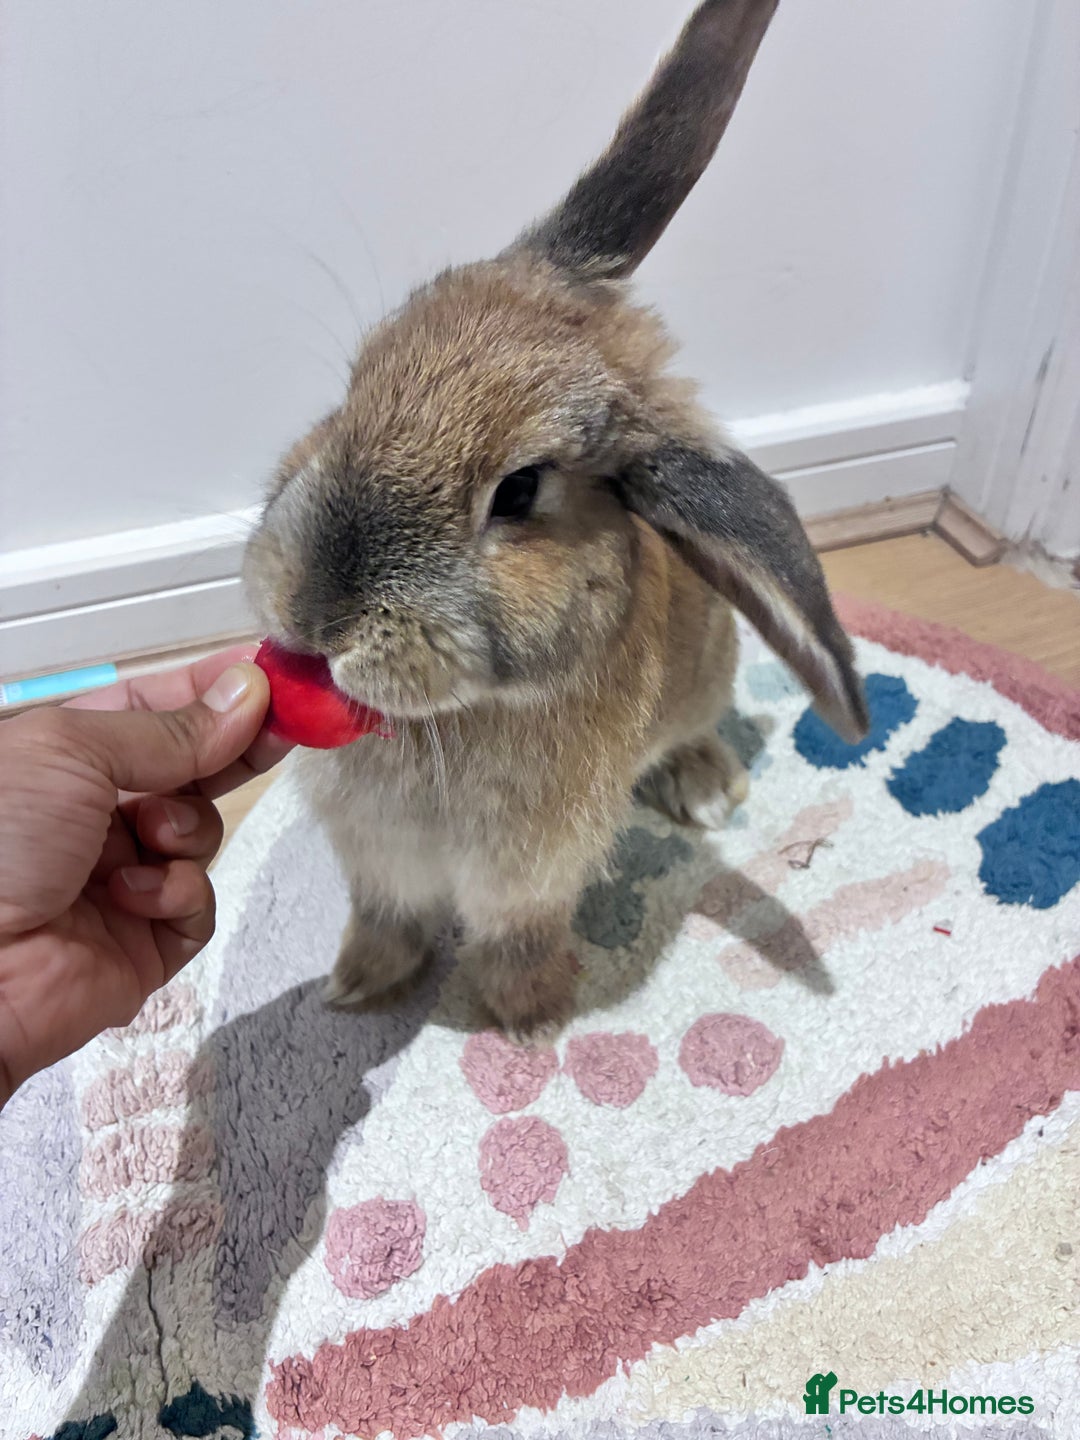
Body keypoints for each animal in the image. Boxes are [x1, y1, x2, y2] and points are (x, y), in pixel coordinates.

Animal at [243, 0, 869, 1038]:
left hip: (708, 673)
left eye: (521, 491)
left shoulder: (529, 872)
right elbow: (385, 919)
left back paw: (704, 787)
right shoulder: (379, 861)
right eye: (354, 385)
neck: (453, 721)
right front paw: (359, 987)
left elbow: (517, 938)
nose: (313, 614)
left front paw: (527, 1019)